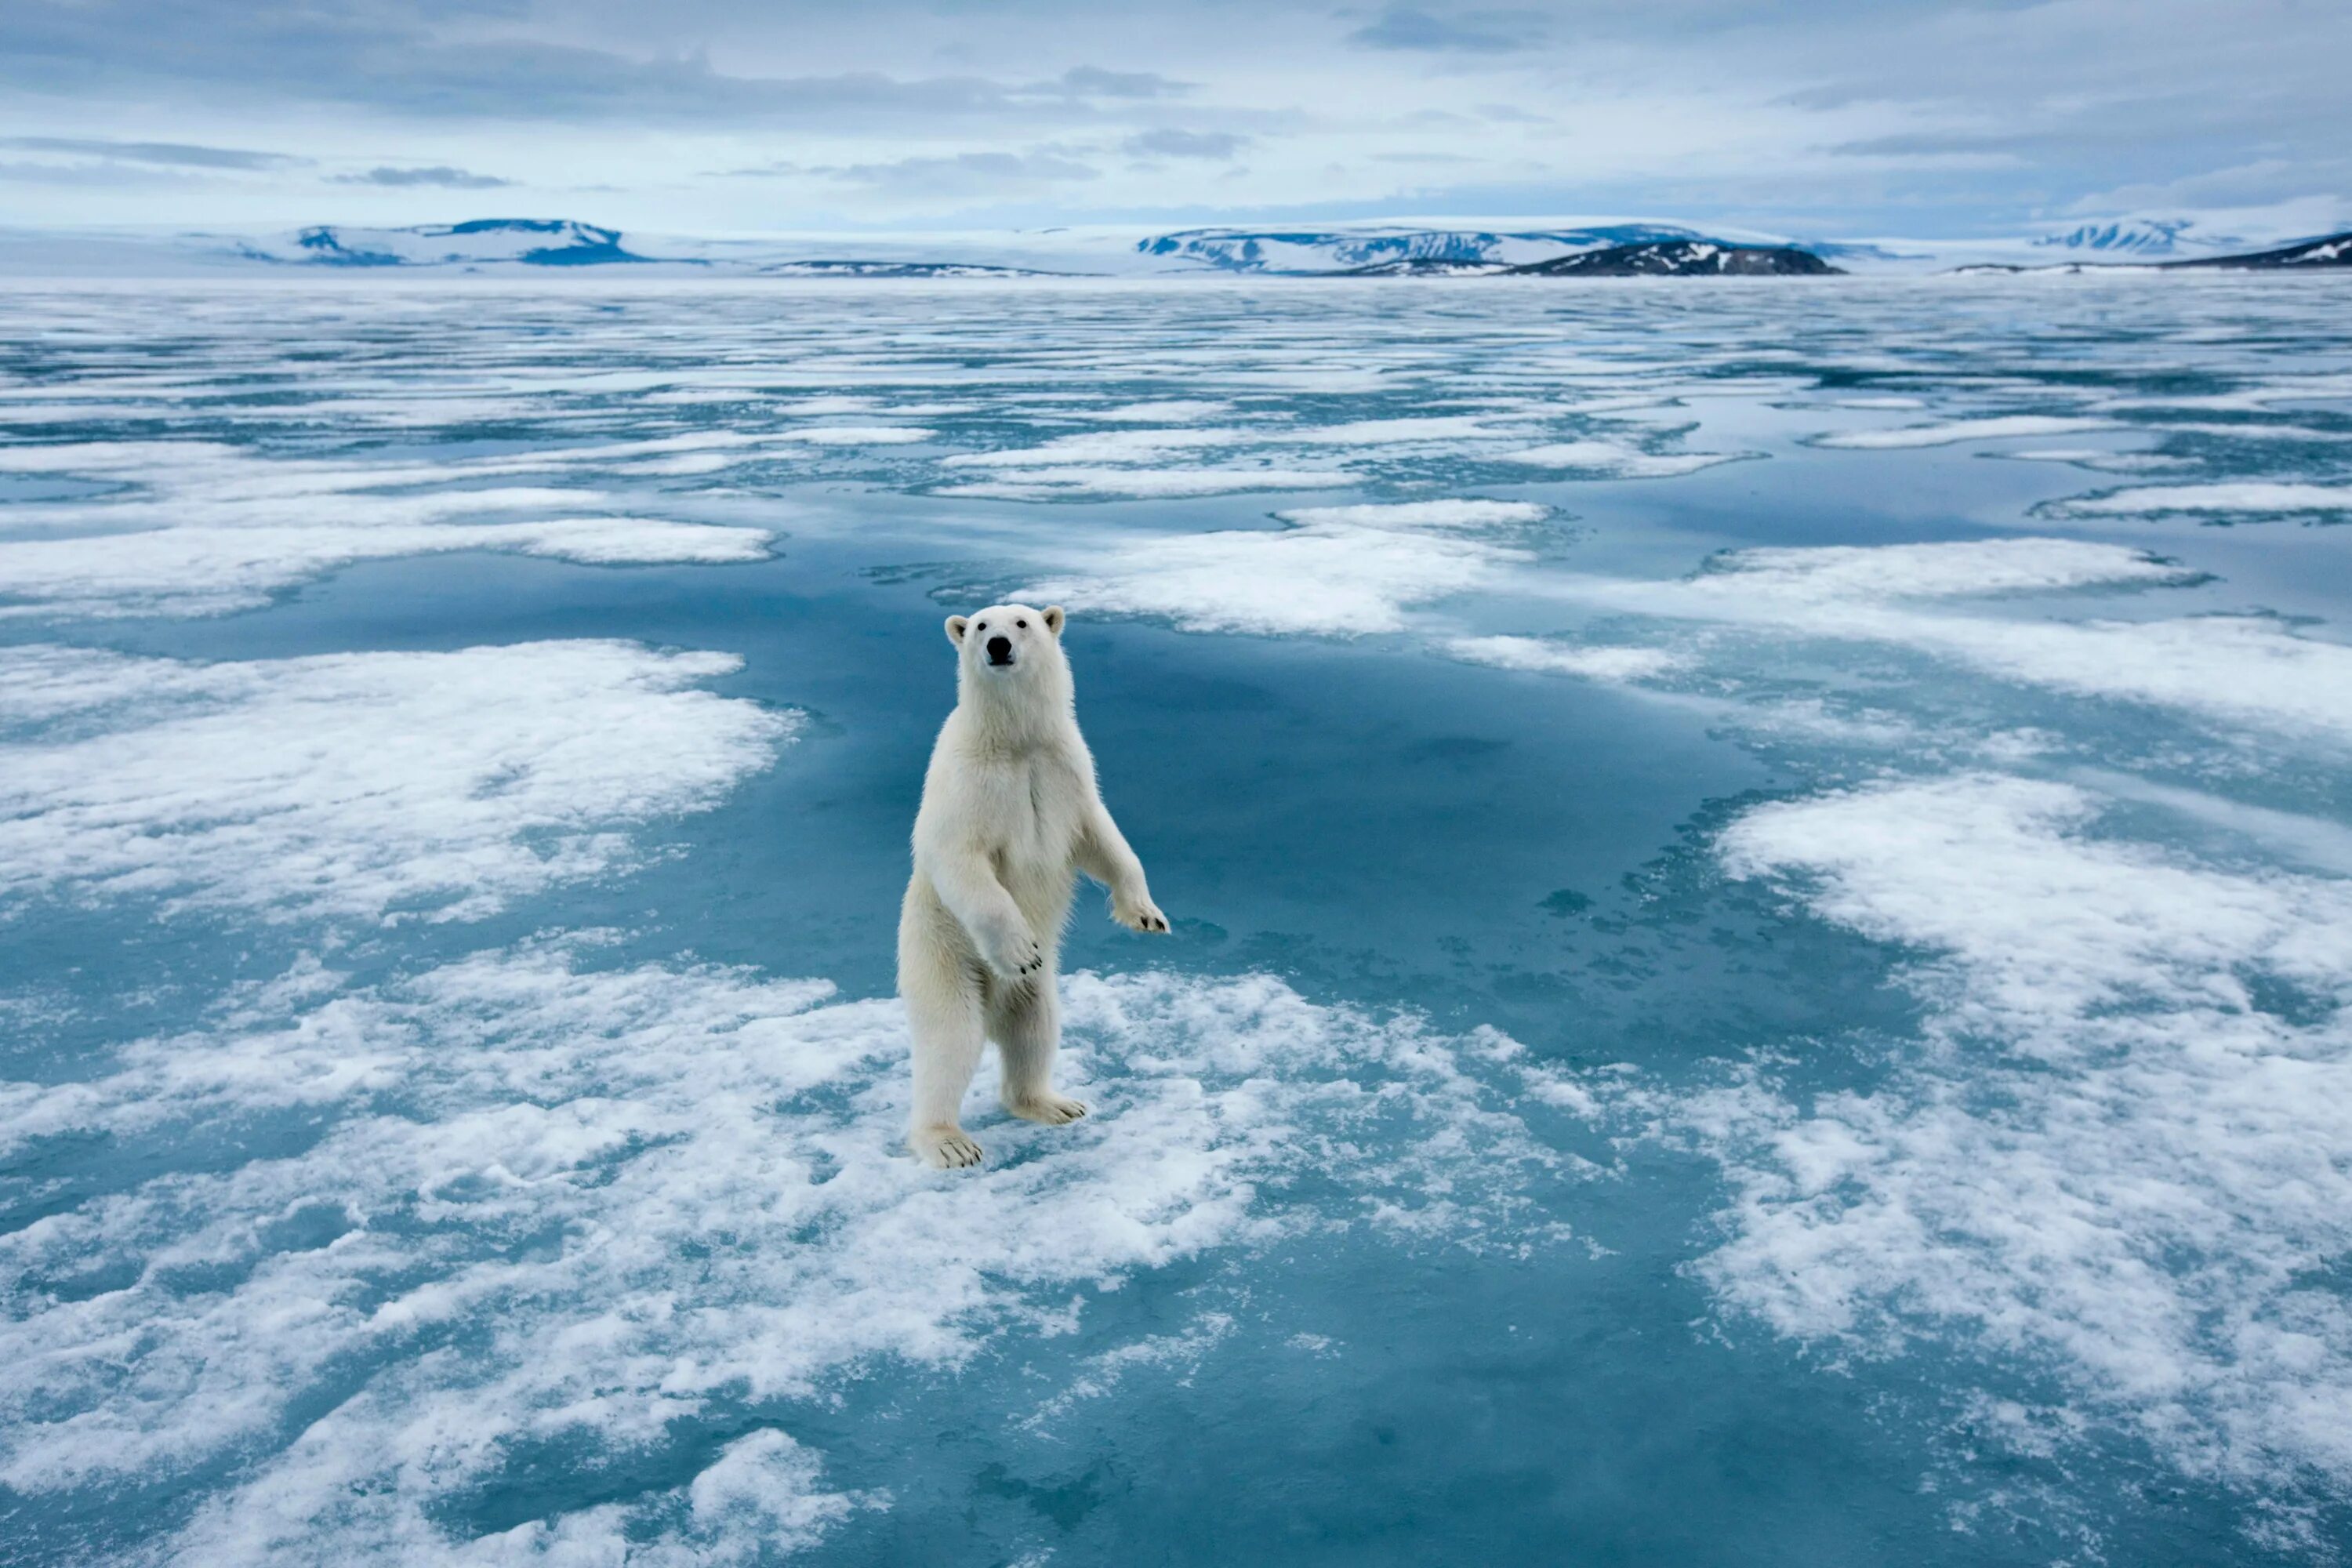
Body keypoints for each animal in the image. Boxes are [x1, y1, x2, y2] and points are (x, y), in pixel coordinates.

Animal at [894, 606, 1171, 1171]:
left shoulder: (1065, 769)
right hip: (941, 954)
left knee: (1035, 1029)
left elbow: (1101, 837)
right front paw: (1021, 949)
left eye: (1022, 622)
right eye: (980, 625)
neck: (1015, 743)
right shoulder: (967, 782)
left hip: (1034, 994)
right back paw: (948, 1141)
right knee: (951, 1041)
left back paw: (1052, 1103)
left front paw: (1147, 914)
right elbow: (959, 858)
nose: (998, 645)